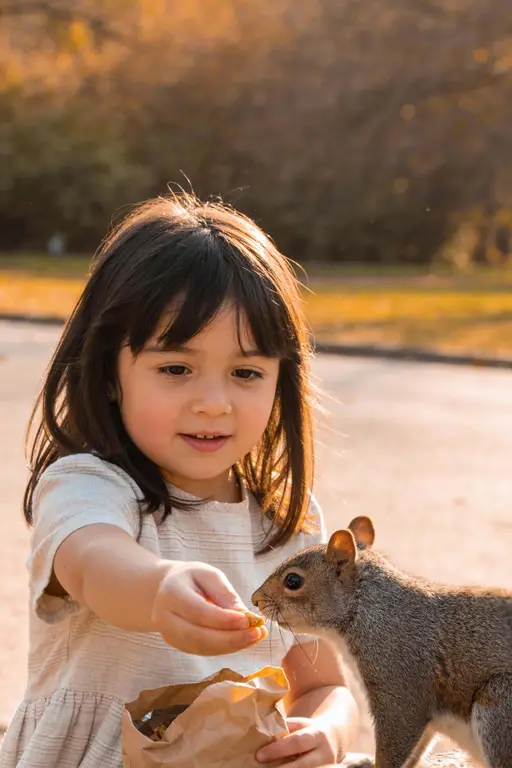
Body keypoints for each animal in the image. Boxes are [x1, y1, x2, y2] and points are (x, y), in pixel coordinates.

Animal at [251, 516, 512, 768]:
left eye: (293, 581)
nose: (255, 599)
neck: (367, 609)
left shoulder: (399, 684)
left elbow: (397, 738)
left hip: (498, 704)